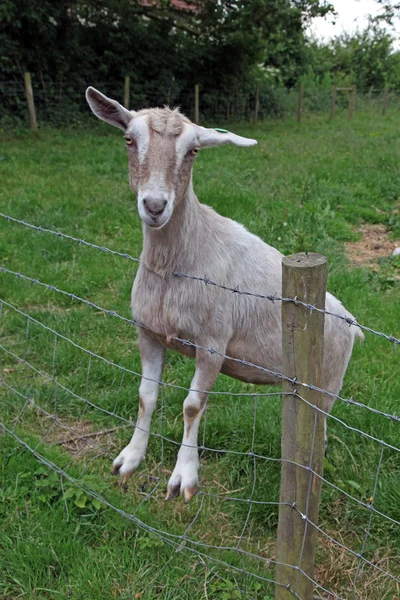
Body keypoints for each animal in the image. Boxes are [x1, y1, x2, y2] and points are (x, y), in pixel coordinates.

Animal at [86, 86, 362, 502]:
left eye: (193, 151)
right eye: (129, 139)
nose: (155, 206)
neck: (176, 263)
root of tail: (352, 323)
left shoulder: (213, 344)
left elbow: (191, 406)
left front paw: (183, 478)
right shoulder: (148, 332)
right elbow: (145, 396)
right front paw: (129, 460)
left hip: (328, 384)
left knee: (320, 427)